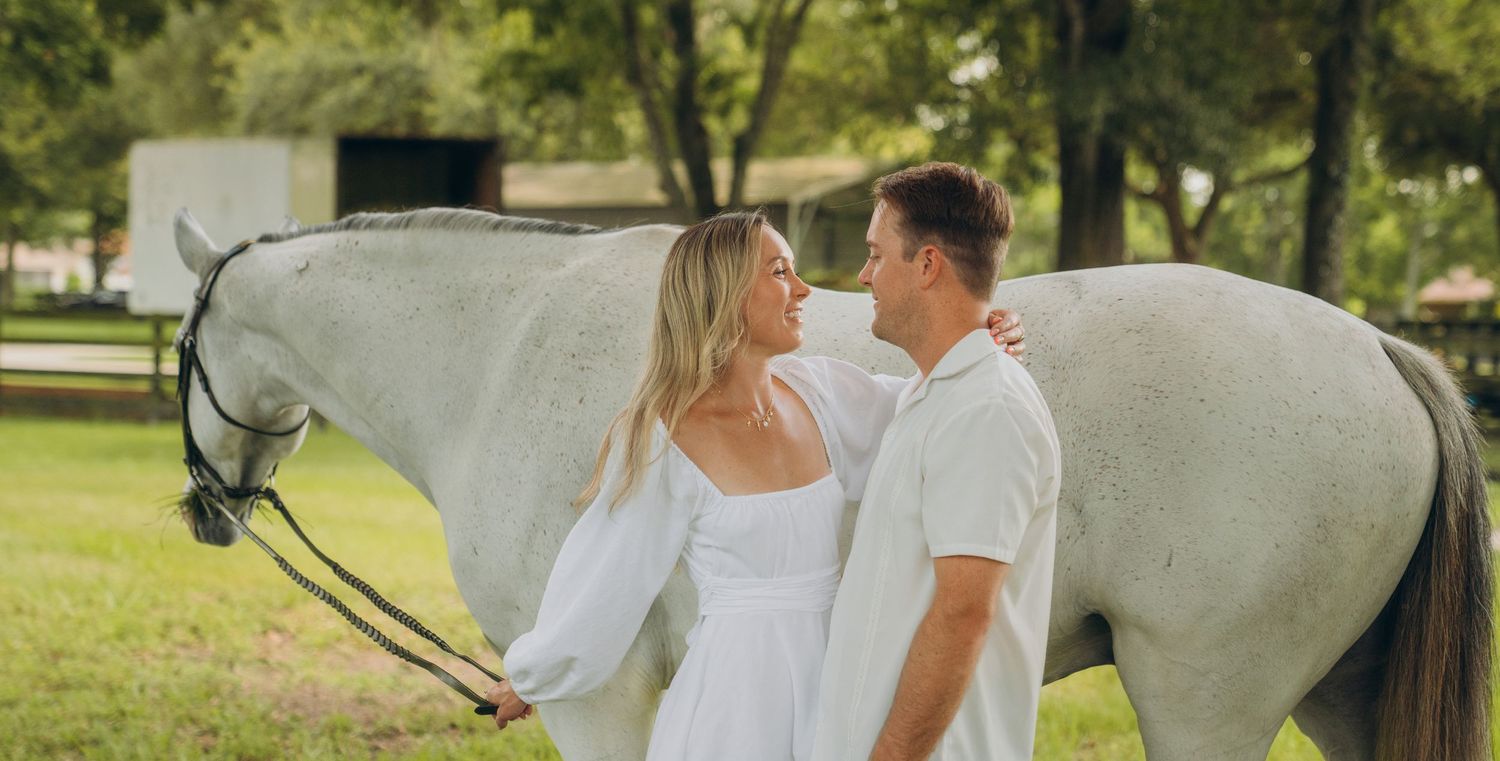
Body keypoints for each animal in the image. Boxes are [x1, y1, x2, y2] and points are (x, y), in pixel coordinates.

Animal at [169, 206, 1491, 761]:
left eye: (176, 346)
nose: (204, 509)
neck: (499, 343)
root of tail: (1383, 347)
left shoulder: (598, 693)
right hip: (1341, 693)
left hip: (1205, 700)